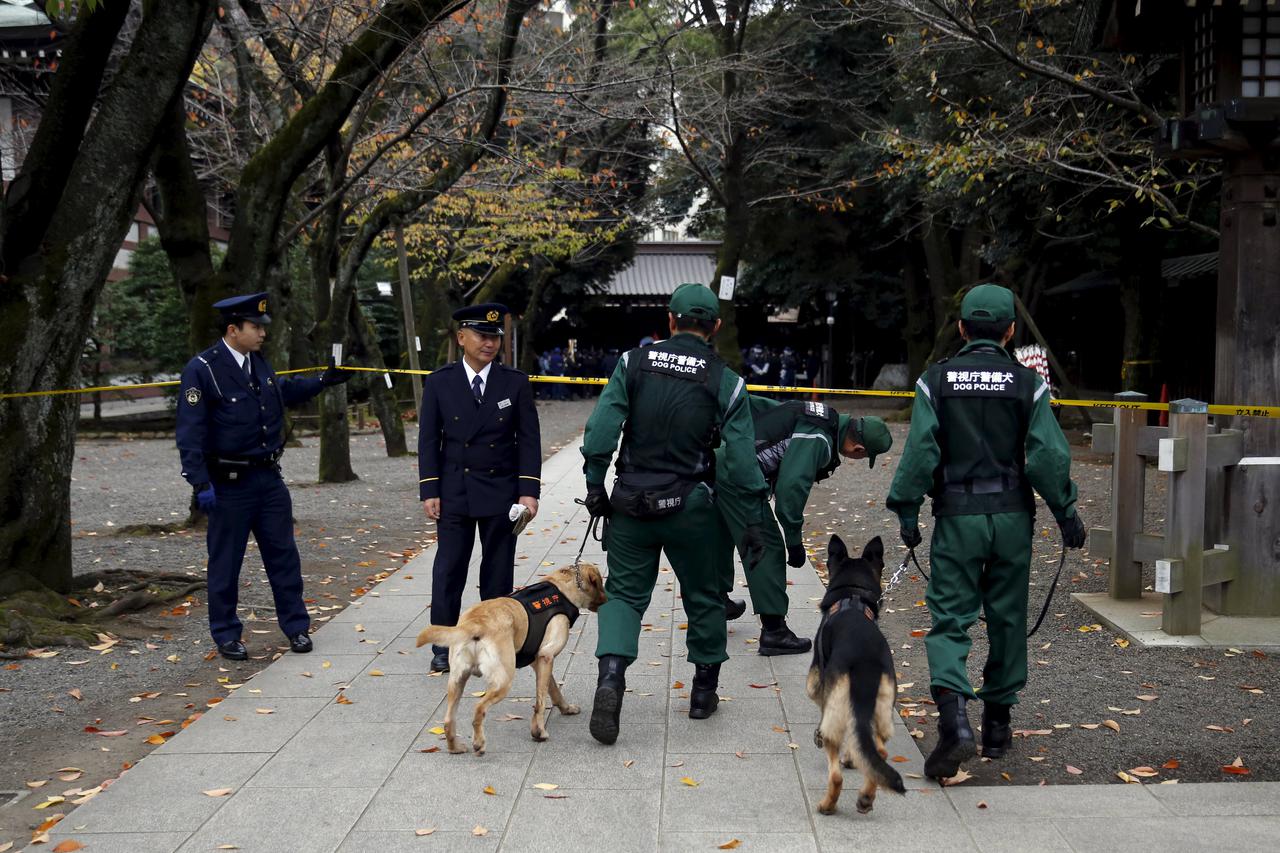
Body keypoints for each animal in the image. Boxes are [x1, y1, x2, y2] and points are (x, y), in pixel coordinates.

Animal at [414, 563, 604, 753]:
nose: (606, 600)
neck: (563, 587)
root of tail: (474, 623)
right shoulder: (546, 656)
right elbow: (541, 702)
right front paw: (539, 731)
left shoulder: (539, 661)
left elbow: (553, 689)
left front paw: (566, 708)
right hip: (503, 680)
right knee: (479, 708)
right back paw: (479, 742)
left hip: (456, 680)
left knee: (448, 720)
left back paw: (455, 747)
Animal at [803, 535, 906, 814]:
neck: (852, 595)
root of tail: (864, 661)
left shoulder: (817, 683)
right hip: (882, 710)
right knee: (877, 753)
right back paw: (866, 797)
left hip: (835, 710)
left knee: (836, 775)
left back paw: (827, 805)